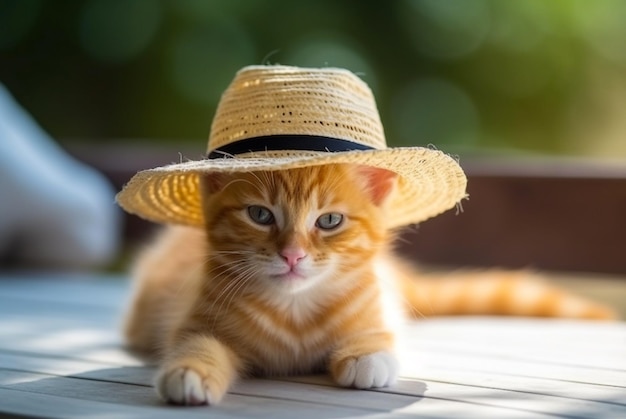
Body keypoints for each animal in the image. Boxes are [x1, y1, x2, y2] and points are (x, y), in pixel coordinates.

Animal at [123, 163, 616, 406]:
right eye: (260, 215)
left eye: (329, 221)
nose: (293, 254)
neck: (294, 311)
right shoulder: (196, 316)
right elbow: (195, 343)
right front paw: (190, 370)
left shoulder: (376, 305)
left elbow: (377, 336)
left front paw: (366, 357)